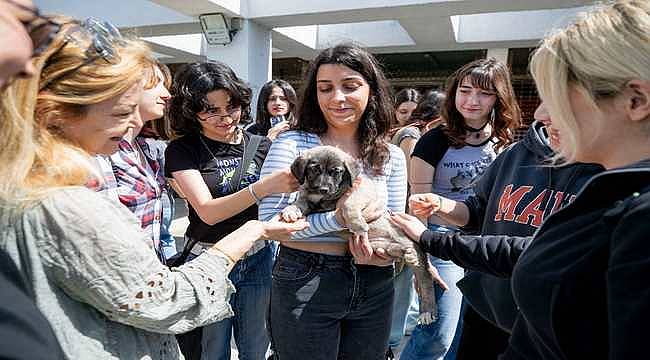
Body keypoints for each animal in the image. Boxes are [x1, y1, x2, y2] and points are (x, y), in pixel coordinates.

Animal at [278, 145, 436, 324]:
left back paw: (427, 310)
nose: (323, 189)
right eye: (314, 169)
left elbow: (348, 204)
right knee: (395, 251)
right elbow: (300, 201)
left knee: (426, 279)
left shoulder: (360, 191)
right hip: (379, 246)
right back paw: (404, 252)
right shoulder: (309, 199)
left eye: (336, 172)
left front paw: (357, 224)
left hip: (415, 252)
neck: (326, 199)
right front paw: (291, 210)